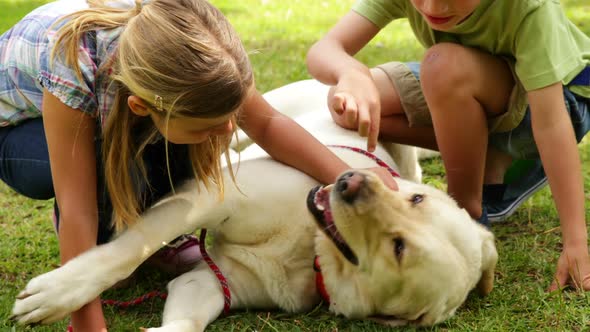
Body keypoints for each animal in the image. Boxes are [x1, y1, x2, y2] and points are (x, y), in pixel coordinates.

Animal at [11, 79, 498, 330]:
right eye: (416, 199)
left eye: (399, 249)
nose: (351, 181)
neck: (310, 251)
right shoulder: (209, 194)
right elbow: (130, 249)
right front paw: (58, 293)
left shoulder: (214, 281)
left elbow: (185, 319)